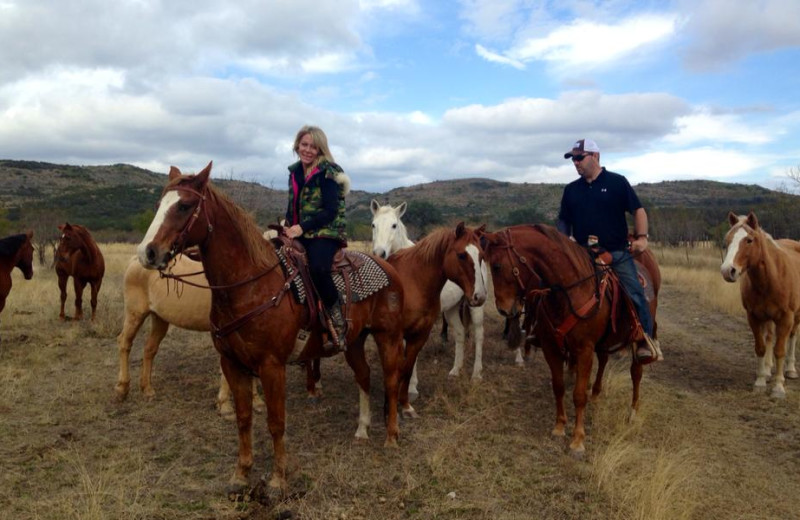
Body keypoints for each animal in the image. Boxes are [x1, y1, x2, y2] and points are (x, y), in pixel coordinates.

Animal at [137, 162, 406, 496]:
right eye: (158, 205)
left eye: (184, 206)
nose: (147, 253)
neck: (250, 285)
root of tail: (388, 265)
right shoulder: (233, 363)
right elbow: (243, 418)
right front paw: (241, 474)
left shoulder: (272, 366)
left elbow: (276, 421)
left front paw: (278, 479)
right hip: (354, 341)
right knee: (365, 377)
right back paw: (362, 429)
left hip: (388, 337)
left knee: (392, 381)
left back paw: (392, 436)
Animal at [370, 202, 524, 394]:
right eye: (373, 225)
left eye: (394, 225)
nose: (379, 253)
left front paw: (411, 386)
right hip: (452, 309)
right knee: (459, 333)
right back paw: (455, 370)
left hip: (476, 305)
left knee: (480, 334)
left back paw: (479, 373)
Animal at [482, 223, 664, 456]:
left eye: (496, 266)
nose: (503, 309)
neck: (569, 291)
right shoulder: (551, 347)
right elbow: (558, 386)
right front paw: (559, 426)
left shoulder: (584, 350)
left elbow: (578, 395)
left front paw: (578, 440)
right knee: (604, 360)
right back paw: (596, 394)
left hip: (635, 339)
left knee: (636, 372)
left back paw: (632, 411)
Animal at [720, 211, 800, 398]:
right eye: (727, 239)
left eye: (749, 240)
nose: (728, 270)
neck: (772, 278)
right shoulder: (754, 317)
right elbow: (761, 347)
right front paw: (761, 381)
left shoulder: (786, 318)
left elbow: (780, 350)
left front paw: (778, 387)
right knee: (770, 337)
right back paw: (768, 369)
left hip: (796, 316)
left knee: (793, 336)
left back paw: (790, 370)